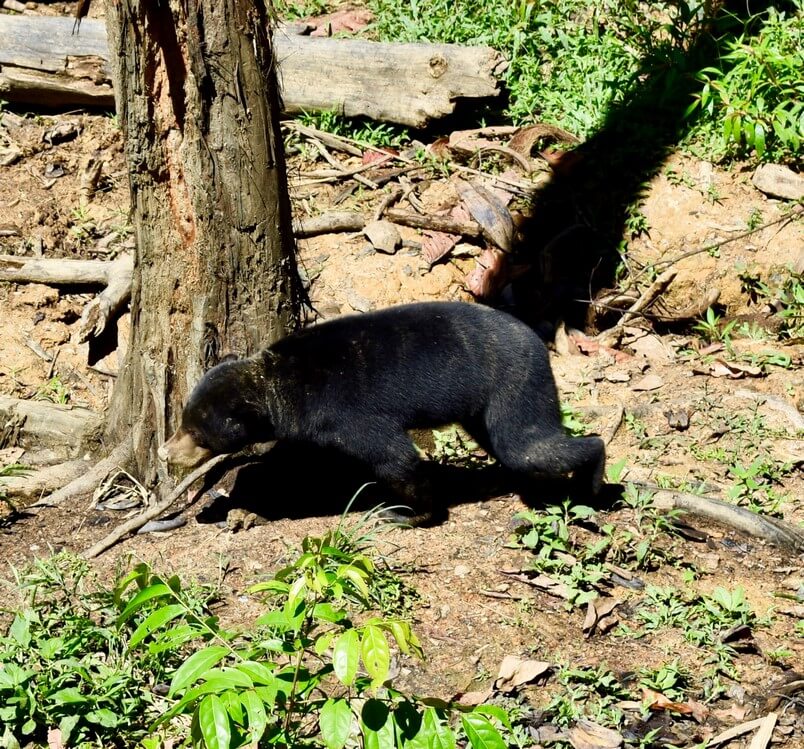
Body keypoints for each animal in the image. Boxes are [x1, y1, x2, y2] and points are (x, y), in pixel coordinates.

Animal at [160, 300, 608, 524]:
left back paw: (594, 478)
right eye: (182, 420)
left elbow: (395, 458)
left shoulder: (344, 413)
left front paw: (407, 512)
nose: (166, 451)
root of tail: (538, 341)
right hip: (483, 408)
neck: (275, 384)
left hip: (514, 384)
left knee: (527, 446)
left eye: (197, 433)